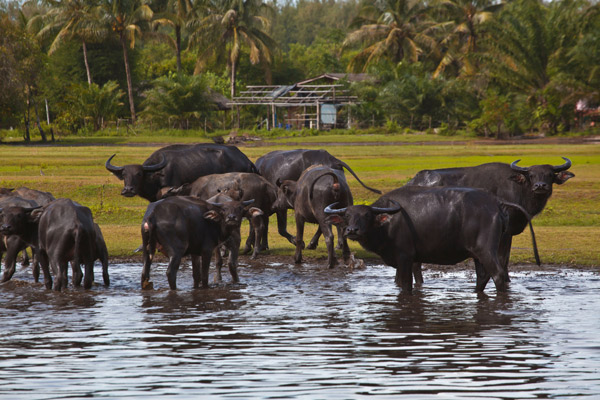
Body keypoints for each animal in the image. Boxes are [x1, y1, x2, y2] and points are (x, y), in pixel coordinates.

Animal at [326, 186, 536, 292]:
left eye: (367, 215)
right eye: (347, 216)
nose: (352, 230)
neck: (387, 225)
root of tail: (495, 202)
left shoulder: (404, 257)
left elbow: (405, 285)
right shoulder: (408, 260)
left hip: (486, 250)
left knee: (499, 275)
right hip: (477, 254)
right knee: (483, 276)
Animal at [406, 157, 576, 284]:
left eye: (550, 174)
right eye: (532, 175)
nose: (540, 186)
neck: (518, 190)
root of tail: (413, 181)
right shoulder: (505, 233)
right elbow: (503, 259)